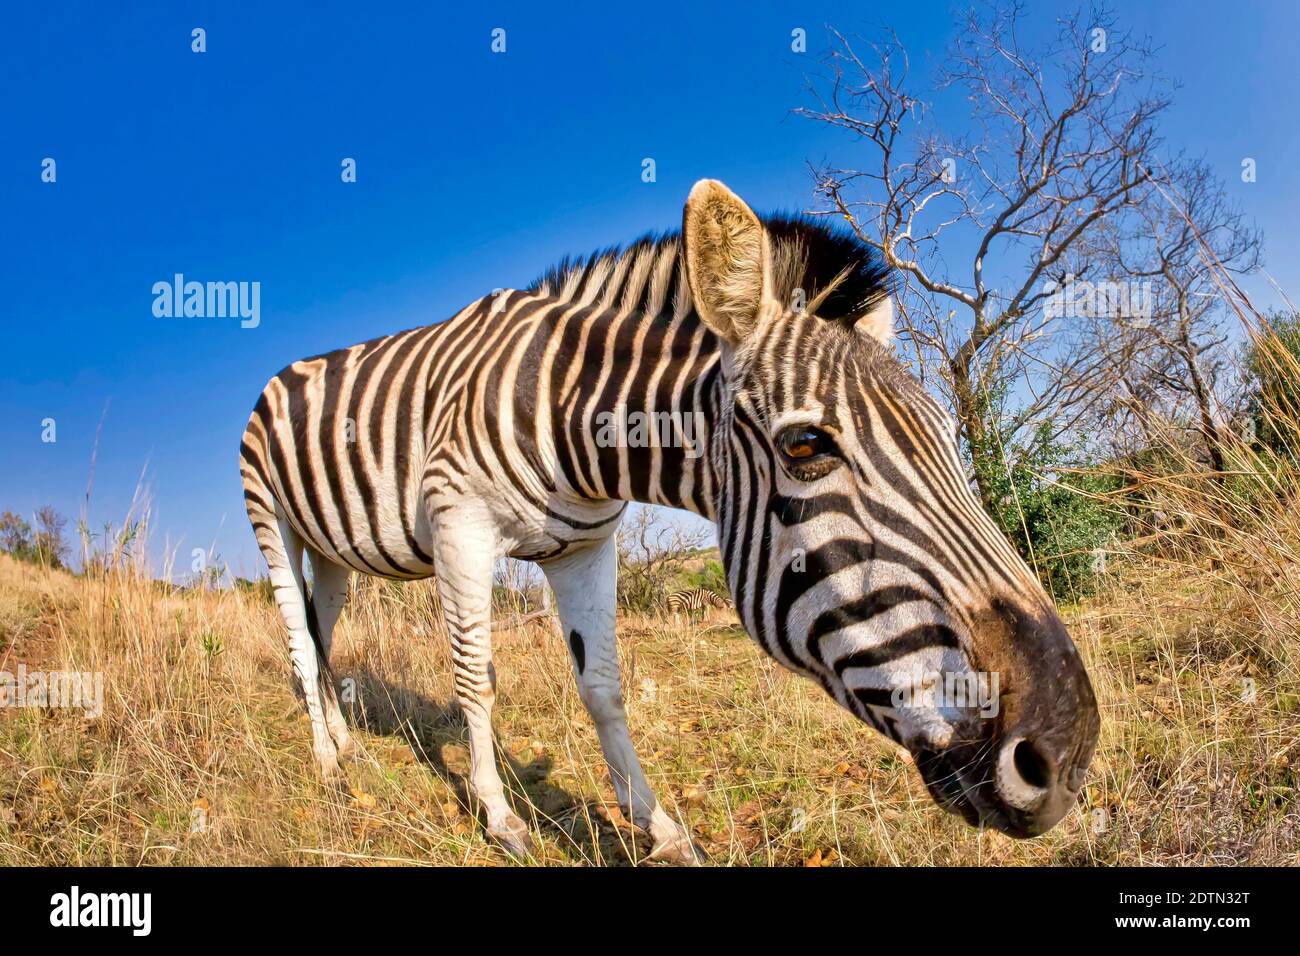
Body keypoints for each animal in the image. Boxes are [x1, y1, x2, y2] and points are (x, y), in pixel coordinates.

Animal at [240, 179, 1099, 863]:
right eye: (806, 446)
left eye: (951, 440)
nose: (1067, 748)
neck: (574, 415)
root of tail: (292, 366)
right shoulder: (460, 524)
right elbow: (475, 677)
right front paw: (501, 820)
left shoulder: (584, 545)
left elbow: (602, 687)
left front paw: (658, 827)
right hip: (271, 522)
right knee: (296, 638)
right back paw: (327, 763)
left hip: (335, 553)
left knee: (320, 632)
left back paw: (346, 745)